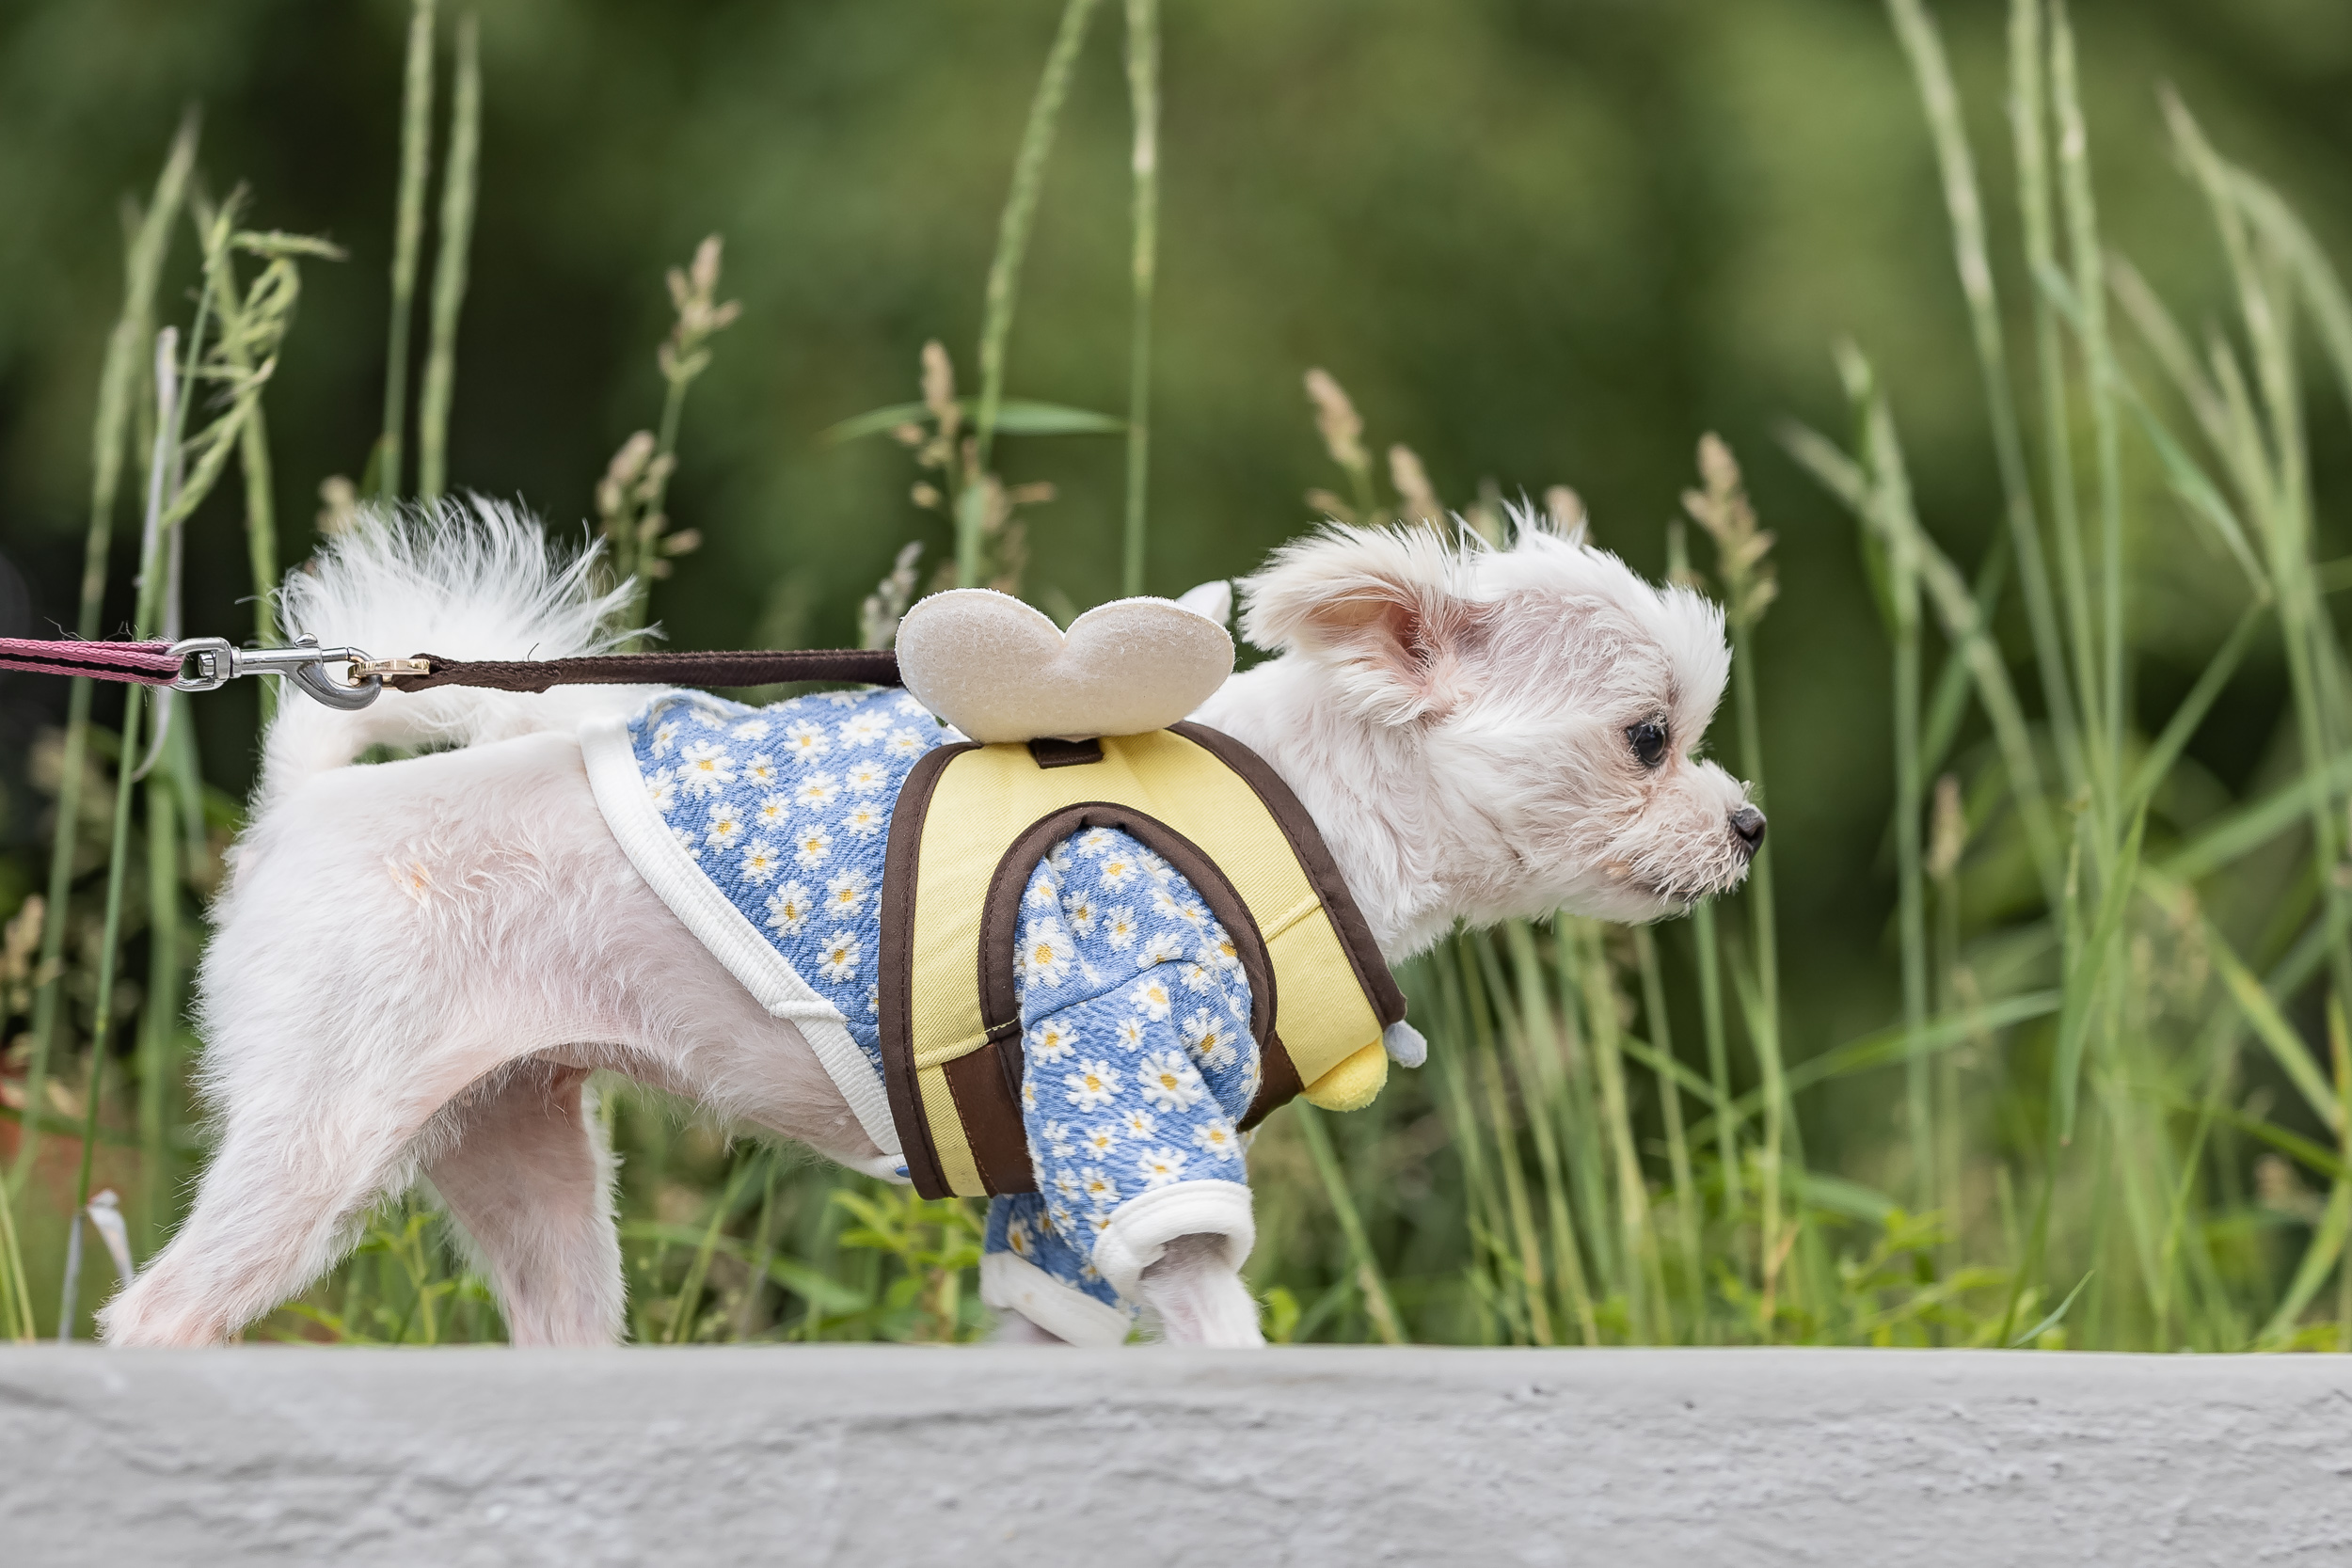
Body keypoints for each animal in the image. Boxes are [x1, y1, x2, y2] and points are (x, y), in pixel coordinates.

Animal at [101, 502, 1759, 1354]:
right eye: (1648, 737)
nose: (1747, 821)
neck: (1299, 806)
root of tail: (300, 813)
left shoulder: (1053, 1185)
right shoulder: (1119, 1092)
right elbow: (1215, 1307)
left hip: (523, 1156)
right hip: (323, 1132)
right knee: (153, 1317)